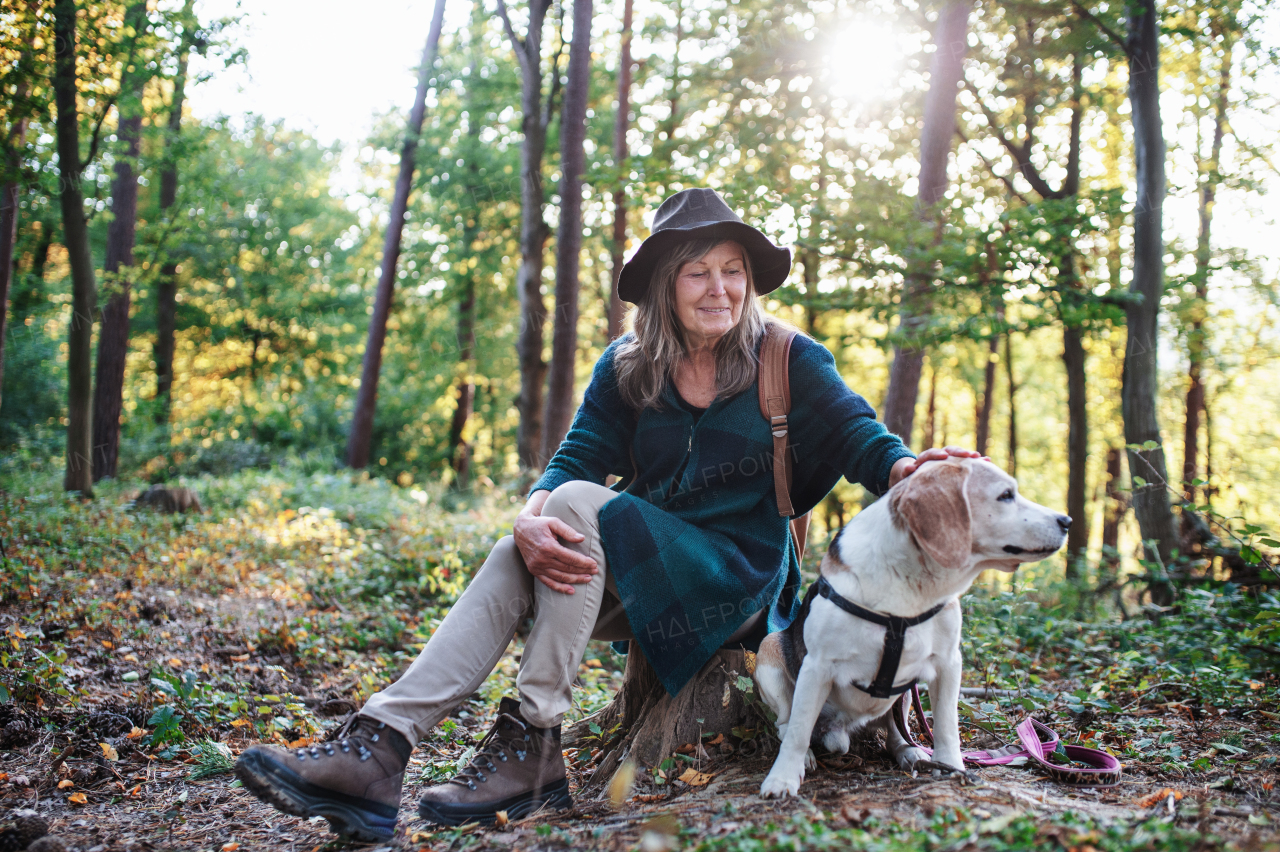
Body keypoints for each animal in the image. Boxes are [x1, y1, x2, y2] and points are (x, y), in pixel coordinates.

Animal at [752, 455, 1064, 793]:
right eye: (1006, 495)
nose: (1067, 521)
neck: (910, 586)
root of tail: (844, 726)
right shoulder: (817, 666)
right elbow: (798, 730)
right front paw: (782, 777)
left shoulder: (948, 663)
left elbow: (946, 726)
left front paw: (952, 766)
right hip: (769, 650)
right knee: (786, 723)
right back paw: (807, 754)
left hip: (901, 695)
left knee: (895, 734)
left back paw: (911, 752)